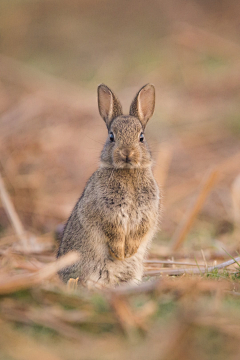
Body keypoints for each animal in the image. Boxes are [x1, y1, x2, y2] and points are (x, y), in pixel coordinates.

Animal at [57, 83, 160, 286]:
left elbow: (139, 231)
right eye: (112, 136)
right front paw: (120, 253)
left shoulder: (147, 213)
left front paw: (128, 252)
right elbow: (114, 232)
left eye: (141, 137)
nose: (127, 153)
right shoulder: (107, 212)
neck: (127, 172)